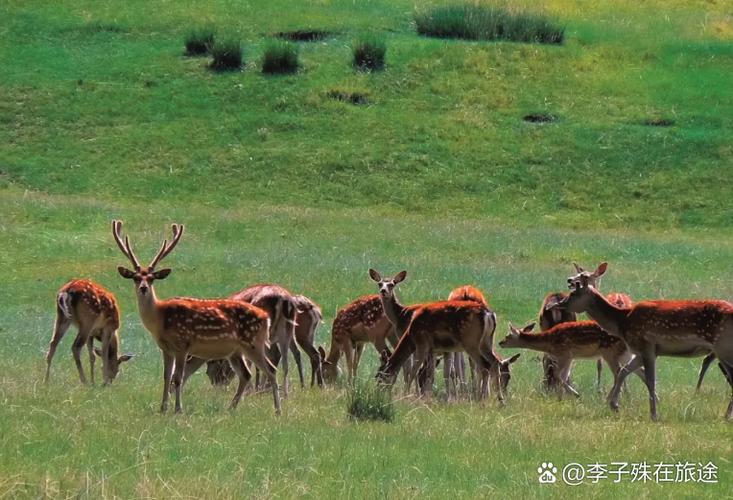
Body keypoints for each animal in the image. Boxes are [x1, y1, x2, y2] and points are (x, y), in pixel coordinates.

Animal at [112, 220, 281, 415]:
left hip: (253, 342)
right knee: (246, 374)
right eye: (136, 277)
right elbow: (166, 377)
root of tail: (265, 317)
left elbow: (177, 377)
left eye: (152, 278)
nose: (143, 288)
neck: (160, 319)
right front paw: (162, 408)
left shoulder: (182, 344)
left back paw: (277, 410)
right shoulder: (165, 348)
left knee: (270, 369)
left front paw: (178, 409)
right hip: (236, 350)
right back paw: (231, 408)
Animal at [499, 322, 646, 397]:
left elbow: (558, 375)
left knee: (619, 372)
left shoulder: (564, 353)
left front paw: (575, 393)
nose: (500, 342)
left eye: (507, 336)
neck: (549, 343)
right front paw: (566, 396)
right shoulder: (570, 356)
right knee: (639, 371)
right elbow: (564, 376)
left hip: (610, 352)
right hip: (624, 354)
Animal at [556, 262, 733, 421]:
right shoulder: (639, 352)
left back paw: (726, 416)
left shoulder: (646, 346)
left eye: (574, 294)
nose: (560, 303)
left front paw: (654, 414)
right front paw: (614, 405)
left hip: (722, 346)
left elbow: (650, 380)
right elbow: (624, 372)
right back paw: (726, 415)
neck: (622, 322)